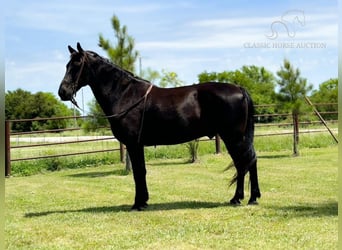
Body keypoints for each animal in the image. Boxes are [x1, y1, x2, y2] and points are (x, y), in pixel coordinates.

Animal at [59, 43, 262, 211]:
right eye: (66, 65)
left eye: (77, 65)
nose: (63, 92)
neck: (125, 94)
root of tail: (240, 89)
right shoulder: (137, 145)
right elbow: (141, 171)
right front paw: (144, 201)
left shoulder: (134, 144)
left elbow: (139, 172)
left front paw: (138, 204)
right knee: (250, 161)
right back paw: (252, 198)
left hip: (233, 137)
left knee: (243, 163)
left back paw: (238, 198)